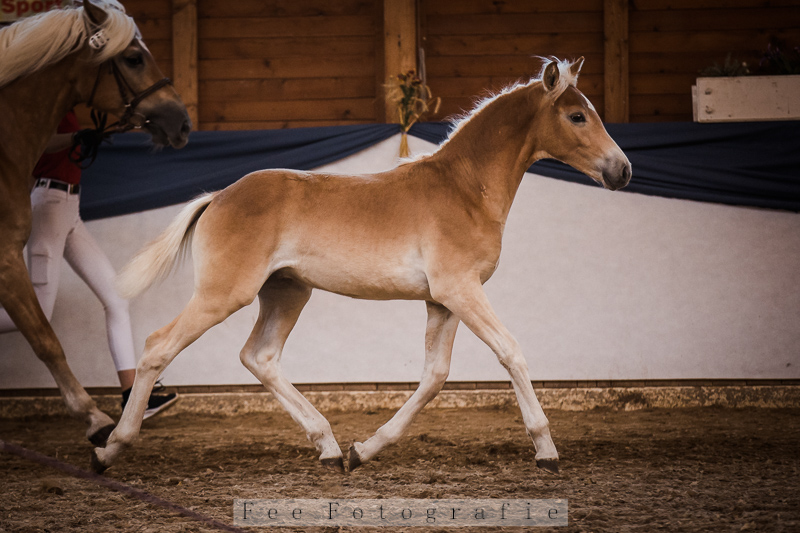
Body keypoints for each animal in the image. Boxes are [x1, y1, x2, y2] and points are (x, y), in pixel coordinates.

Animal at [94, 57, 632, 474]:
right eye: (577, 116)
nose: (622, 171)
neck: (463, 189)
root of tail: (218, 196)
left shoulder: (443, 301)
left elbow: (435, 376)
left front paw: (365, 450)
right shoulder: (460, 290)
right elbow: (511, 352)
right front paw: (546, 451)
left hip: (287, 292)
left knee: (259, 356)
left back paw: (331, 448)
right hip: (224, 294)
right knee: (158, 346)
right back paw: (109, 449)